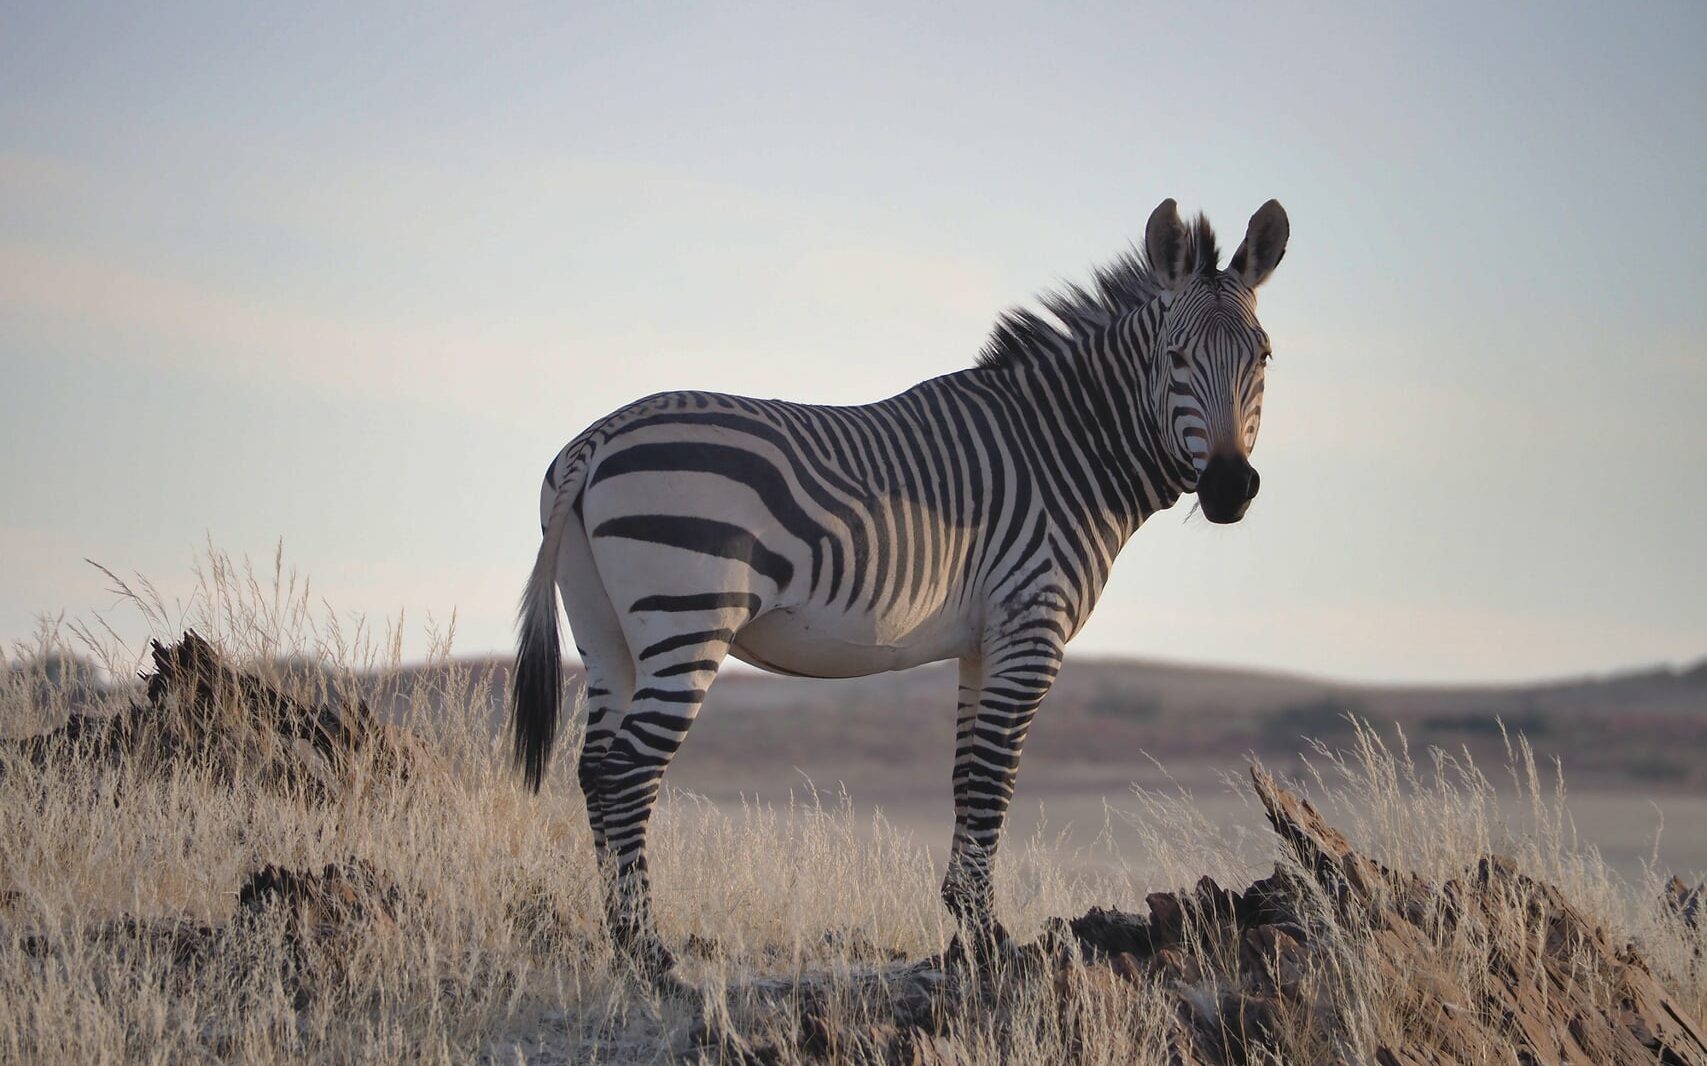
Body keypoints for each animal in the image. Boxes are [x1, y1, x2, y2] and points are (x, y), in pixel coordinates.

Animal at [512, 193, 1283, 977]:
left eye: (1263, 356)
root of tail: (595, 440)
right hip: (687, 616)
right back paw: (648, 952)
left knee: (594, 768)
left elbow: (968, 777)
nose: (1228, 489)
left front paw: (968, 931)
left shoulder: (982, 644)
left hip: (604, 632)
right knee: (627, 772)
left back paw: (620, 941)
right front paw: (989, 942)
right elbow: (994, 780)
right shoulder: (1031, 627)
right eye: (1174, 358)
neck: (1065, 448)